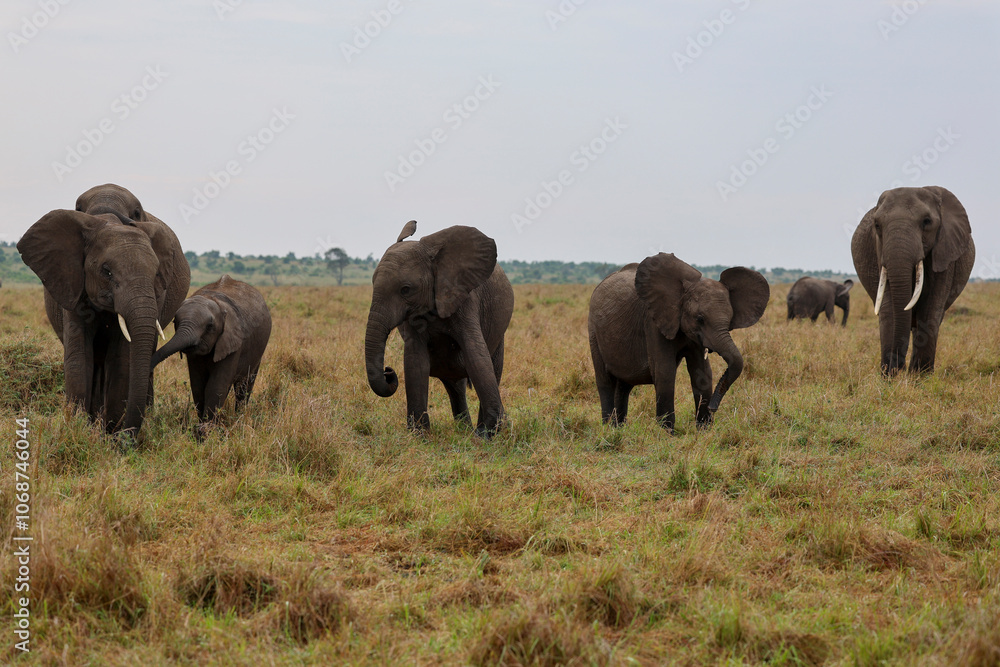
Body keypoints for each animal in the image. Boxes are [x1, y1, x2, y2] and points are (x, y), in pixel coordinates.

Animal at [17, 184, 190, 436]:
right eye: (106, 271)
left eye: (156, 273)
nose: (127, 435)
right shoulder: (71, 280)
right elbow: (79, 356)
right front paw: (78, 430)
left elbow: (122, 358)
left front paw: (110, 435)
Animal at [151, 275, 271, 432]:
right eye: (175, 322)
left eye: (209, 326)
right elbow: (198, 385)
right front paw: (203, 429)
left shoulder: (232, 343)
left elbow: (216, 386)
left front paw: (205, 432)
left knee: (244, 386)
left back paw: (239, 419)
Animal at [364, 221, 514, 437]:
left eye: (406, 289)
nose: (388, 371)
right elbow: (415, 362)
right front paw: (420, 436)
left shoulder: (464, 298)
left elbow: (476, 356)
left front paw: (485, 436)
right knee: (455, 386)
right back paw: (464, 430)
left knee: (492, 369)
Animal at [588, 253, 769, 431]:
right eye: (700, 319)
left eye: (730, 320)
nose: (713, 407)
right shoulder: (654, 322)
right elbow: (664, 371)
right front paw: (666, 433)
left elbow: (702, 372)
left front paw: (704, 431)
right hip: (593, 330)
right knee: (605, 381)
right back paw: (608, 428)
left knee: (624, 385)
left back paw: (619, 428)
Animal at [851, 186, 974, 375]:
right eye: (877, 225)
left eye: (926, 222)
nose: (899, 368)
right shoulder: (880, 251)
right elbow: (889, 307)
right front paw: (889, 377)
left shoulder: (944, 251)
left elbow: (930, 309)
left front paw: (921, 378)